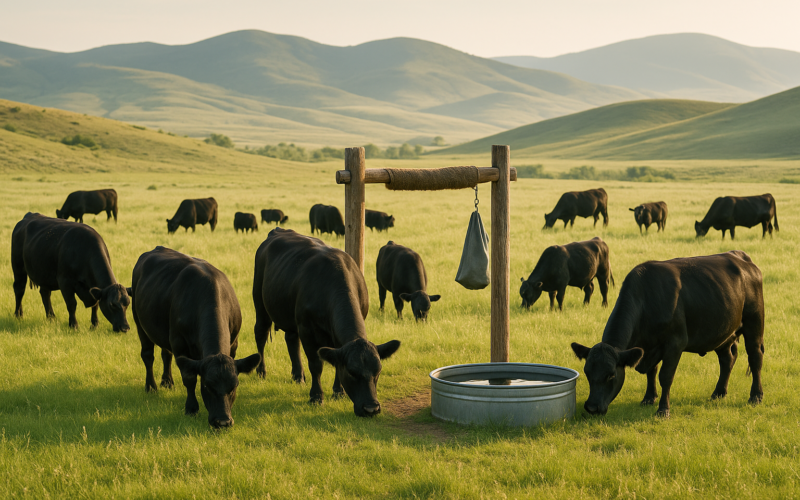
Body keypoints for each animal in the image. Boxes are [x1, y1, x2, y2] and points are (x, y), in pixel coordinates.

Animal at [129, 246, 261, 429]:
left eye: (234, 386)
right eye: (207, 385)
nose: (223, 422)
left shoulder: (233, 343)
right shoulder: (179, 344)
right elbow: (189, 379)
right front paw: (191, 408)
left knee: (166, 354)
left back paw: (167, 381)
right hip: (139, 322)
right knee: (148, 355)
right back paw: (151, 387)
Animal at [253, 228, 401, 417]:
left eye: (379, 370)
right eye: (352, 372)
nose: (371, 409)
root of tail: (279, 231)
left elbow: (336, 361)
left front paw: (338, 392)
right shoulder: (307, 330)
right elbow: (316, 365)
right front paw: (316, 397)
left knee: (291, 339)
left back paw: (298, 376)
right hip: (260, 303)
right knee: (261, 334)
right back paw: (261, 371)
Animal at [570, 251, 764, 418]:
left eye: (611, 374)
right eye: (587, 372)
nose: (592, 407)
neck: (646, 300)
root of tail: (739, 256)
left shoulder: (675, 343)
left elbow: (665, 376)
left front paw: (663, 409)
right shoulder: (647, 347)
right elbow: (652, 372)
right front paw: (649, 398)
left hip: (754, 324)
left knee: (755, 357)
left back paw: (756, 396)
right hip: (722, 332)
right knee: (727, 359)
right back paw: (718, 393)